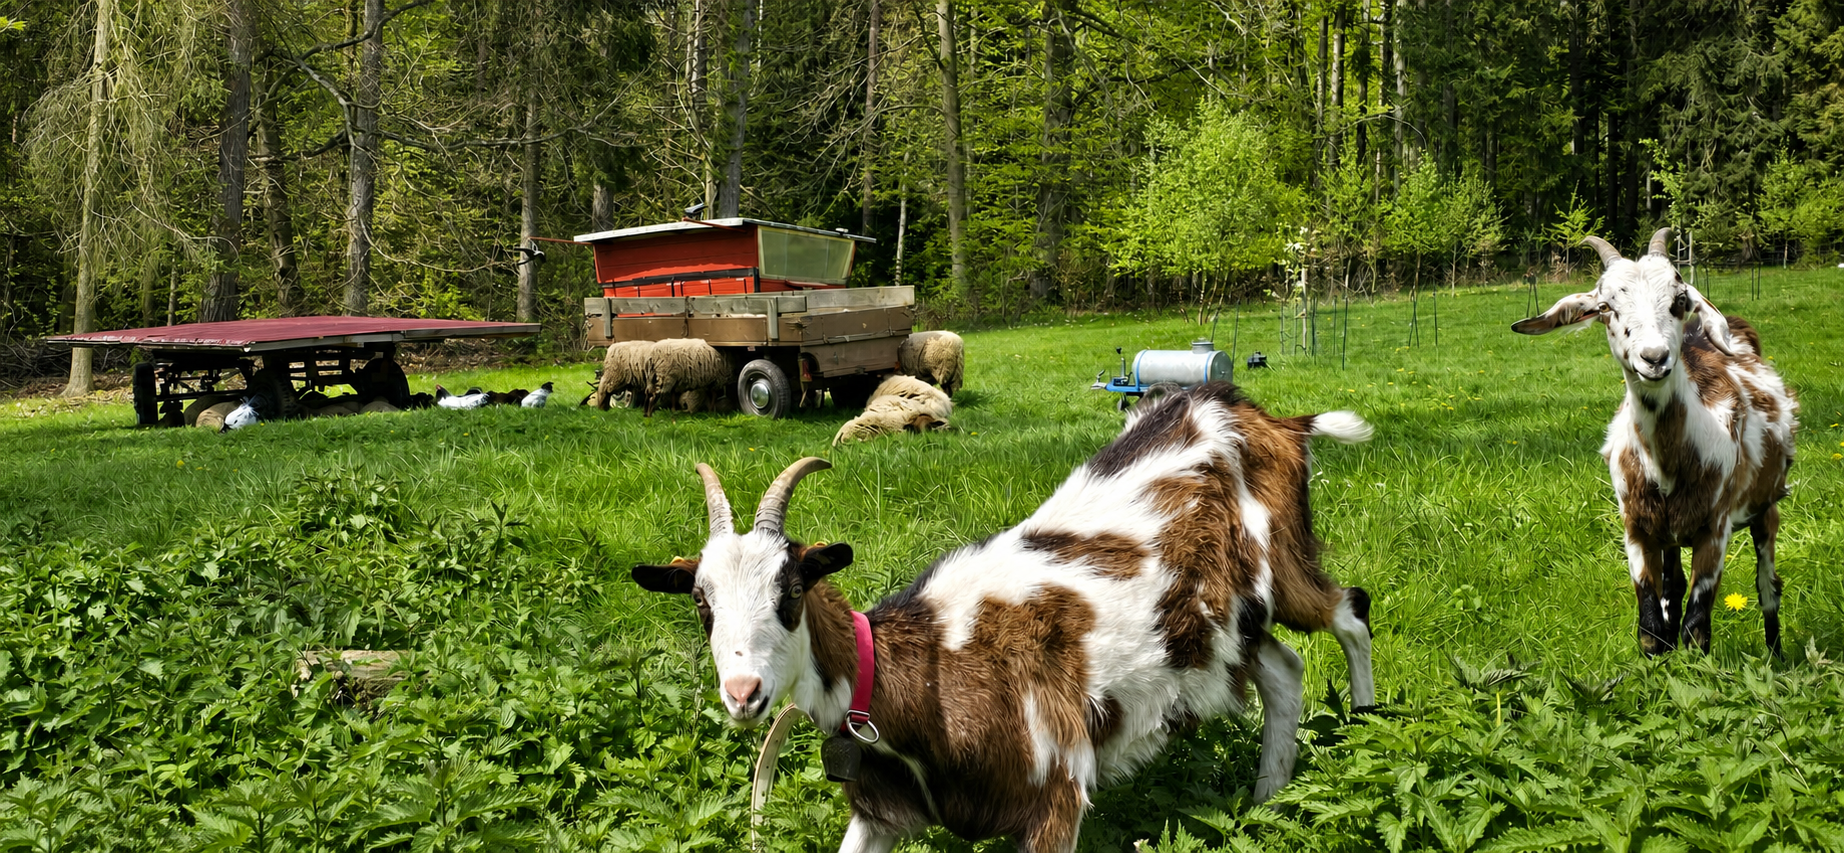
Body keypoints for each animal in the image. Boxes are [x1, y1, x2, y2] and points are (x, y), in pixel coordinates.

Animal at [633, 383, 1374, 851]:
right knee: (1283, 668)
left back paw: (1369, 727)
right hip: (1220, 630)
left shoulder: (1055, 795)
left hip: (1285, 566)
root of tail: (1271, 419)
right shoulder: (884, 811)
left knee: (1350, 612)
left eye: (790, 590)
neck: (929, 669)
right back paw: (1266, 798)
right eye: (701, 601)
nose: (744, 694)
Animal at [1513, 229, 1798, 657]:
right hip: (1670, 533)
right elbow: (1651, 628)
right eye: (1605, 307)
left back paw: (1775, 654)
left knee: (1768, 586)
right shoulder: (1637, 526)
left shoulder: (1714, 527)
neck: (1667, 461)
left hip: (1767, 506)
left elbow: (1696, 630)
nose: (1654, 358)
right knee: (1674, 587)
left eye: (1679, 301)